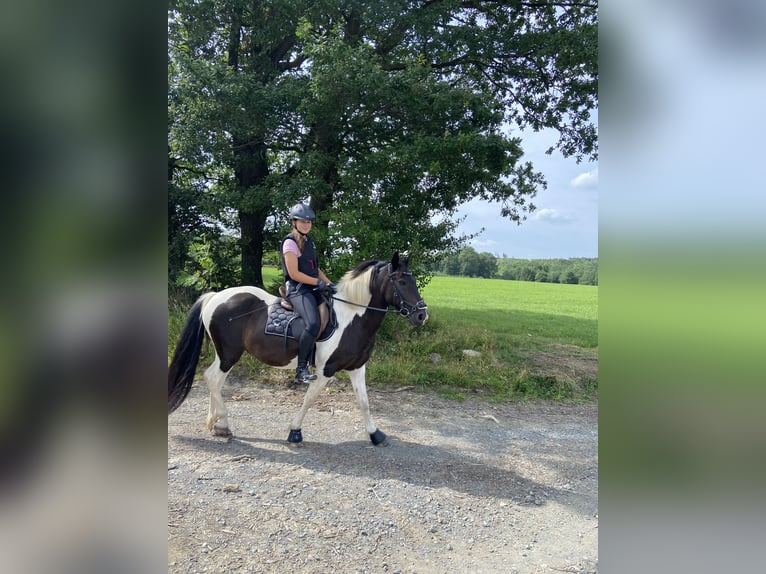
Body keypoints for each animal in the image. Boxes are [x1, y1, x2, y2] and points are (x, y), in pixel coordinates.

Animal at [168, 254, 428, 448]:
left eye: (413, 280)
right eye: (402, 282)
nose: (422, 315)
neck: (351, 317)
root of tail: (214, 296)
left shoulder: (357, 367)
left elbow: (364, 401)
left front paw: (376, 435)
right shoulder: (325, 371)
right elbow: (309, 399)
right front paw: (295, 432)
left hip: (224, 354)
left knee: (214, 380)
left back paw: (216, 424)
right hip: (229, 354)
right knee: (212, 378)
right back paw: (223, 425)